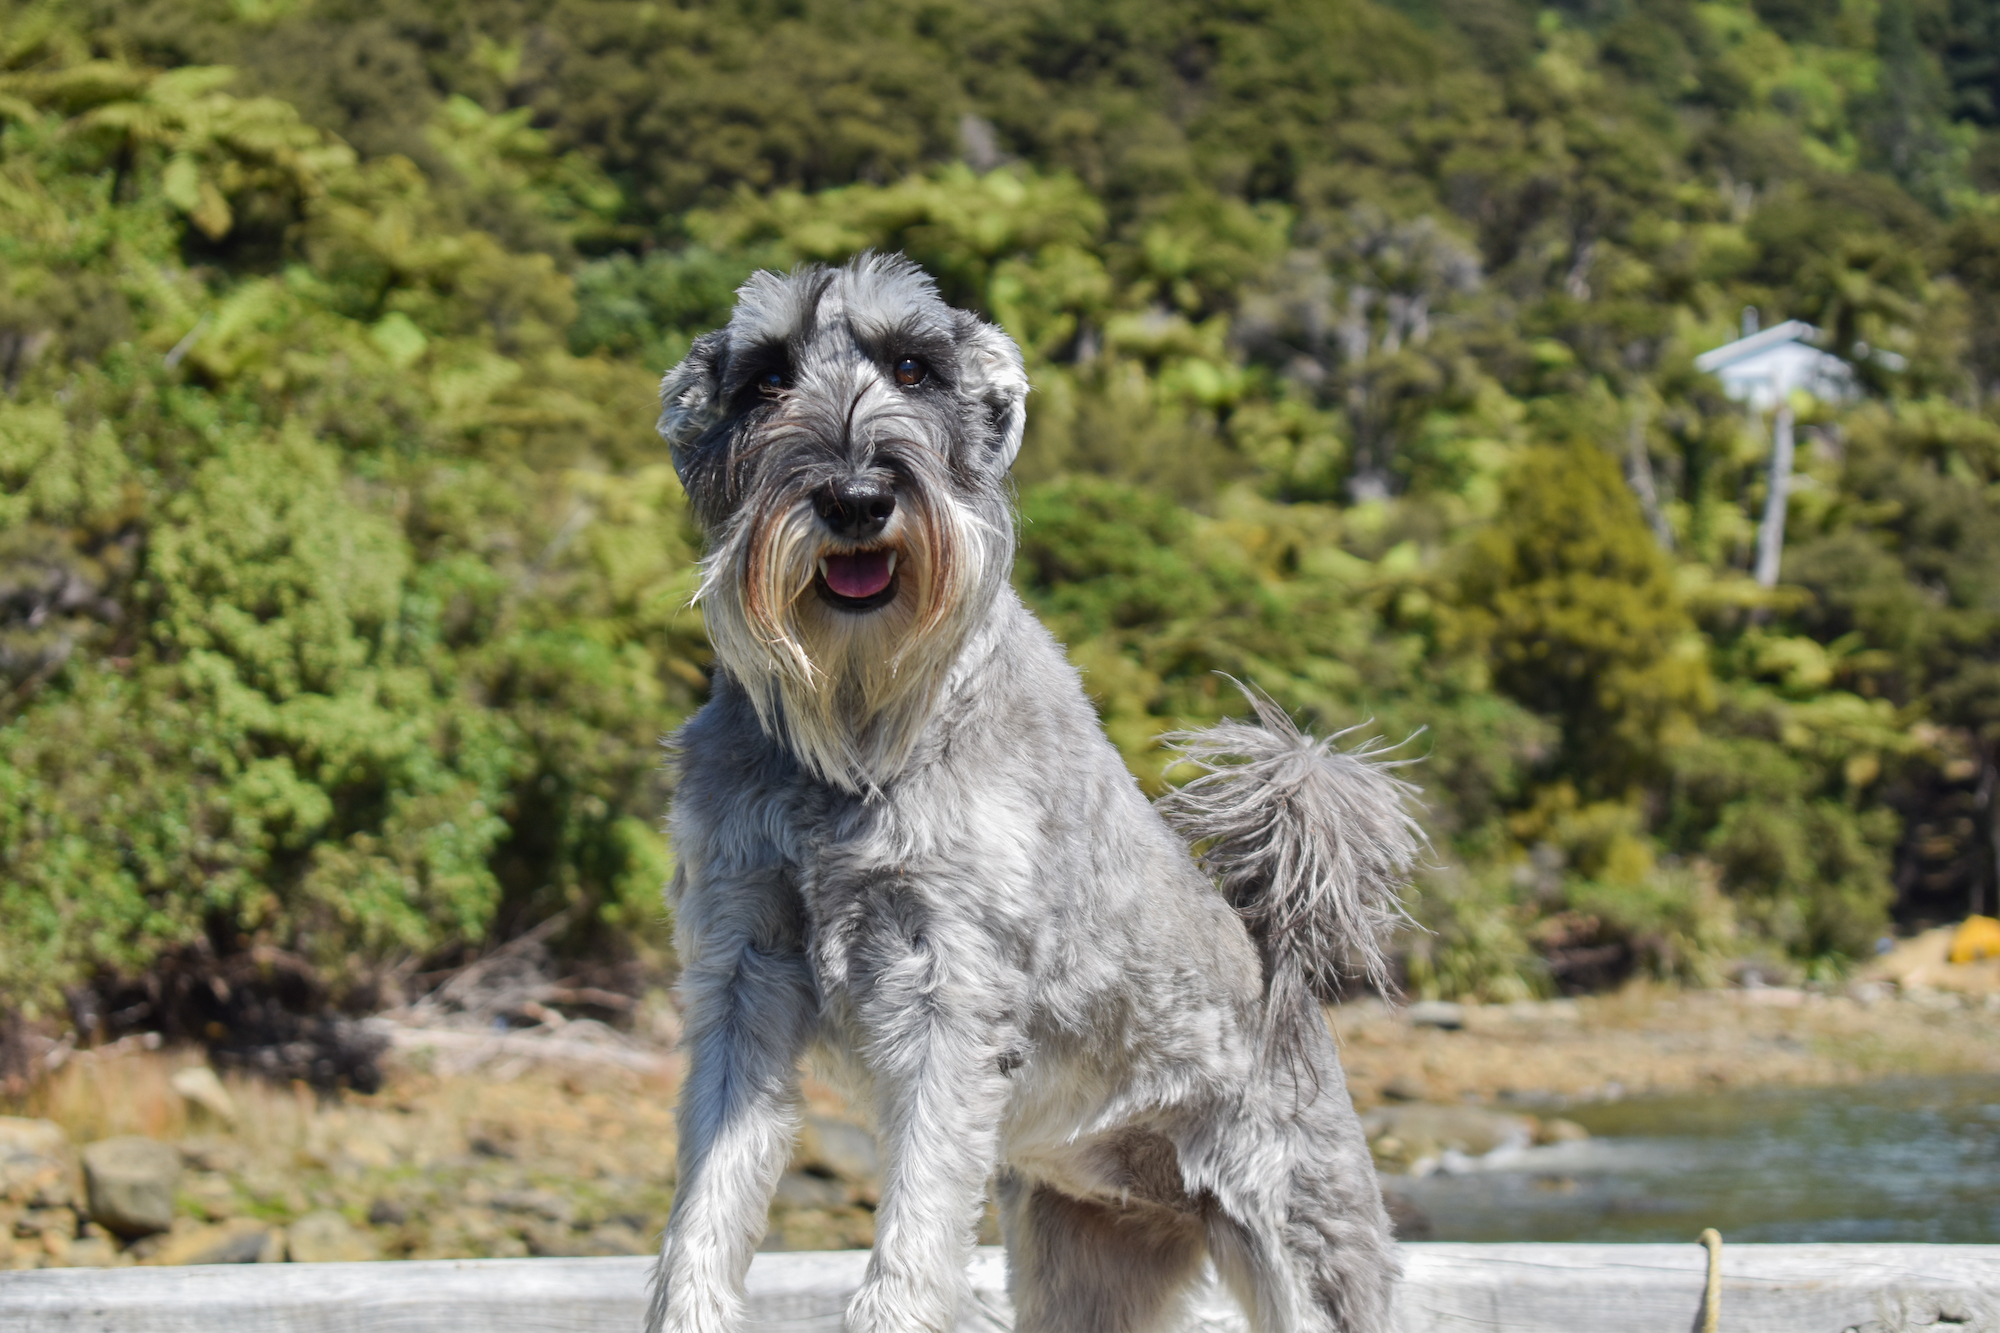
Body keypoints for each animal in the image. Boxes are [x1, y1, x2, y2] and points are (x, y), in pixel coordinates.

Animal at [648, 252, 1416, 1328]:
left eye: (916, 367)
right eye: (764, 378)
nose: (854, 497)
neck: (854, 733)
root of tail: (1282, 968)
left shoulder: (950, 991)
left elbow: (913, 1233)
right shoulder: (740, 967)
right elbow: (706, 1207)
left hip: (1306, 1245)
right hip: (1081, 1258)